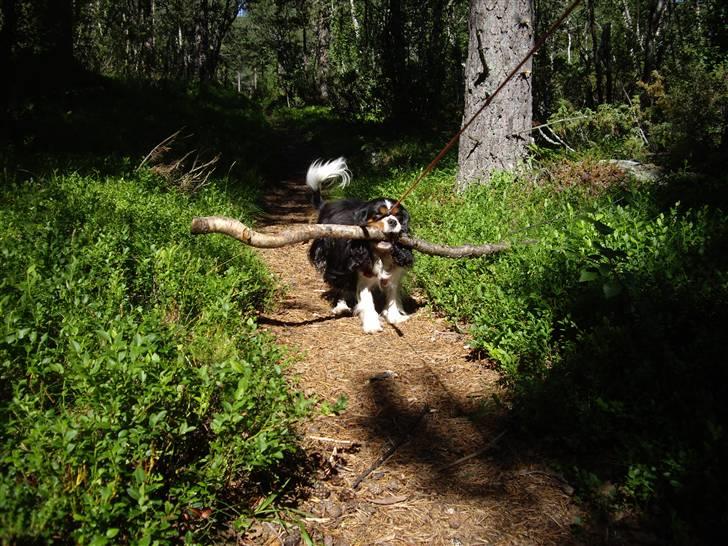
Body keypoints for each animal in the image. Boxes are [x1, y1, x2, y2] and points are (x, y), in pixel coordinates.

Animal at [304, 155, 412, 330]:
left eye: (398, 216)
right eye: (378, 216)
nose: (393, 222)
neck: (380, 253)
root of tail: (326, 205)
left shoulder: (394, 276)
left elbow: (392, 296)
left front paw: (395, 316)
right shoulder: (362, 276)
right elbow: (367, 302)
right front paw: (372, 325)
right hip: (334, 259)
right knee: (339, 282)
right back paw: (341, 306)